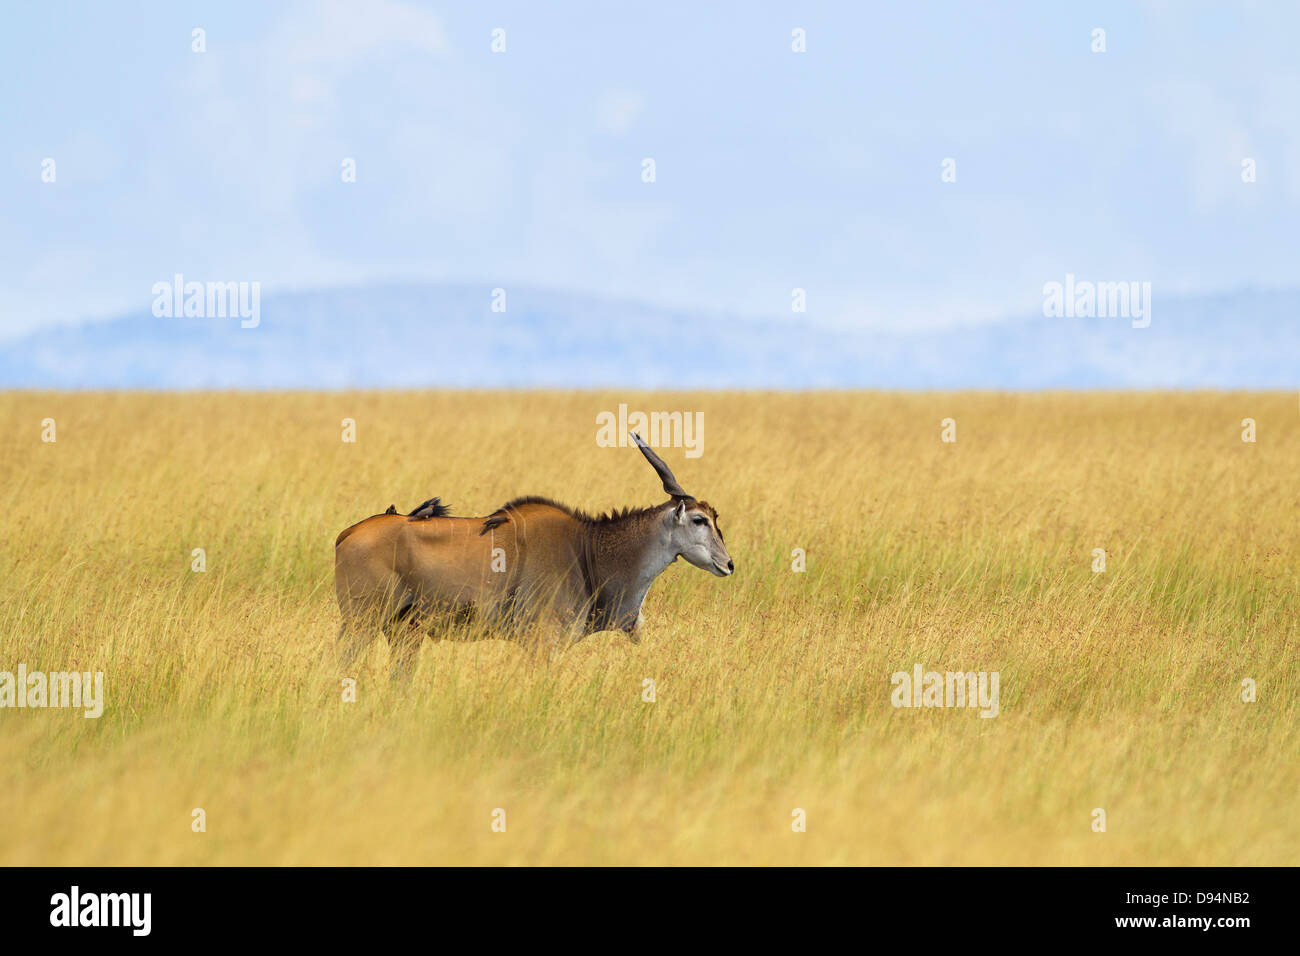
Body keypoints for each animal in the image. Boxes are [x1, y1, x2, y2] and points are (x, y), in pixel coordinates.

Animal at [330, 437, 733, 676]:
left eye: (716, 518)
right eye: (699, 519)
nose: (728, 564)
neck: (587, 547)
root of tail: (347, 534)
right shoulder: (544, 642)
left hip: (402, 633)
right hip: (362, 624)